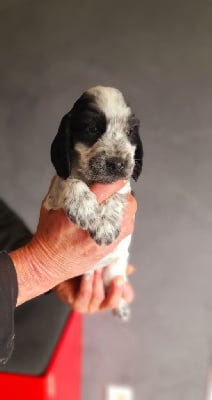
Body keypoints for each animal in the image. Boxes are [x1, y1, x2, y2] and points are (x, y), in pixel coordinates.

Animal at [45, 86, 144, 320]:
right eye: (91, 128)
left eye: (130, 132)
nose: (117, 163)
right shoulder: (53, 197)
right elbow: (69, 180)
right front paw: (84, 207)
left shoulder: (126, 190)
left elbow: (119, 192)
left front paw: (106, 225)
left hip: (113, 270)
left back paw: (121, 306)